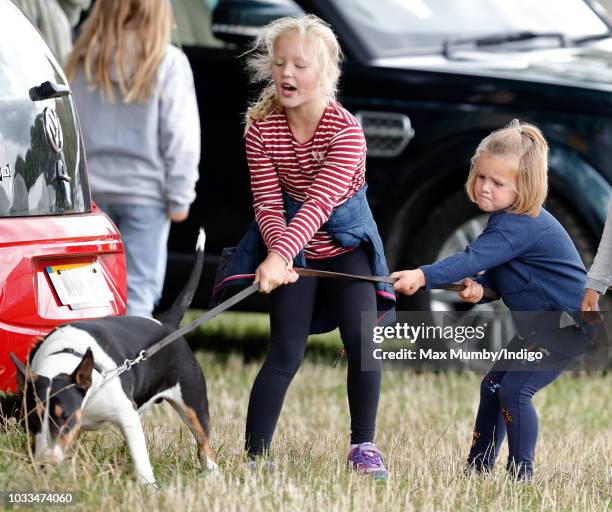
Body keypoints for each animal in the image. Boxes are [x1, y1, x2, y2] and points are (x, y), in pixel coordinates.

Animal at [10, 230, 218, 486]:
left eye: (65, 417)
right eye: (32, 419)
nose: (45, 464)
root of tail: (166, 325)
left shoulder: (126, 414)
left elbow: (140, 457)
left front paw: (149, 487)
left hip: (192, 400)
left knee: (203, 441)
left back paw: (212, 472)